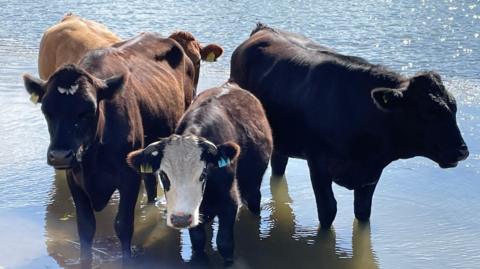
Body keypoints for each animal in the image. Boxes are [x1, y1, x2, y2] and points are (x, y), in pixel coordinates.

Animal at [22, 30, 223, 260]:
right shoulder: (74, 178)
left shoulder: (128, 177)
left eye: (89, 109)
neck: (93, 156)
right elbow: (85, 227)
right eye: (46, 109)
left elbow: (124, 225)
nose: (60, 155)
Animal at [126, 83, 274, 264]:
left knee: (254, 200)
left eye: (203, 174)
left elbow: (224, 242)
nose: (180, 219)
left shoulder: (230, 202)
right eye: (163, 175)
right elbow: (198, 240)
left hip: (253, 184)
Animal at [229, 23, 468, 228]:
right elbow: (328, 210)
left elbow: (363, 211)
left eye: (454, 108)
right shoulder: (318, 164)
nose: (462, 151)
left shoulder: (371, 174)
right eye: (429, 113)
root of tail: (263, 29)